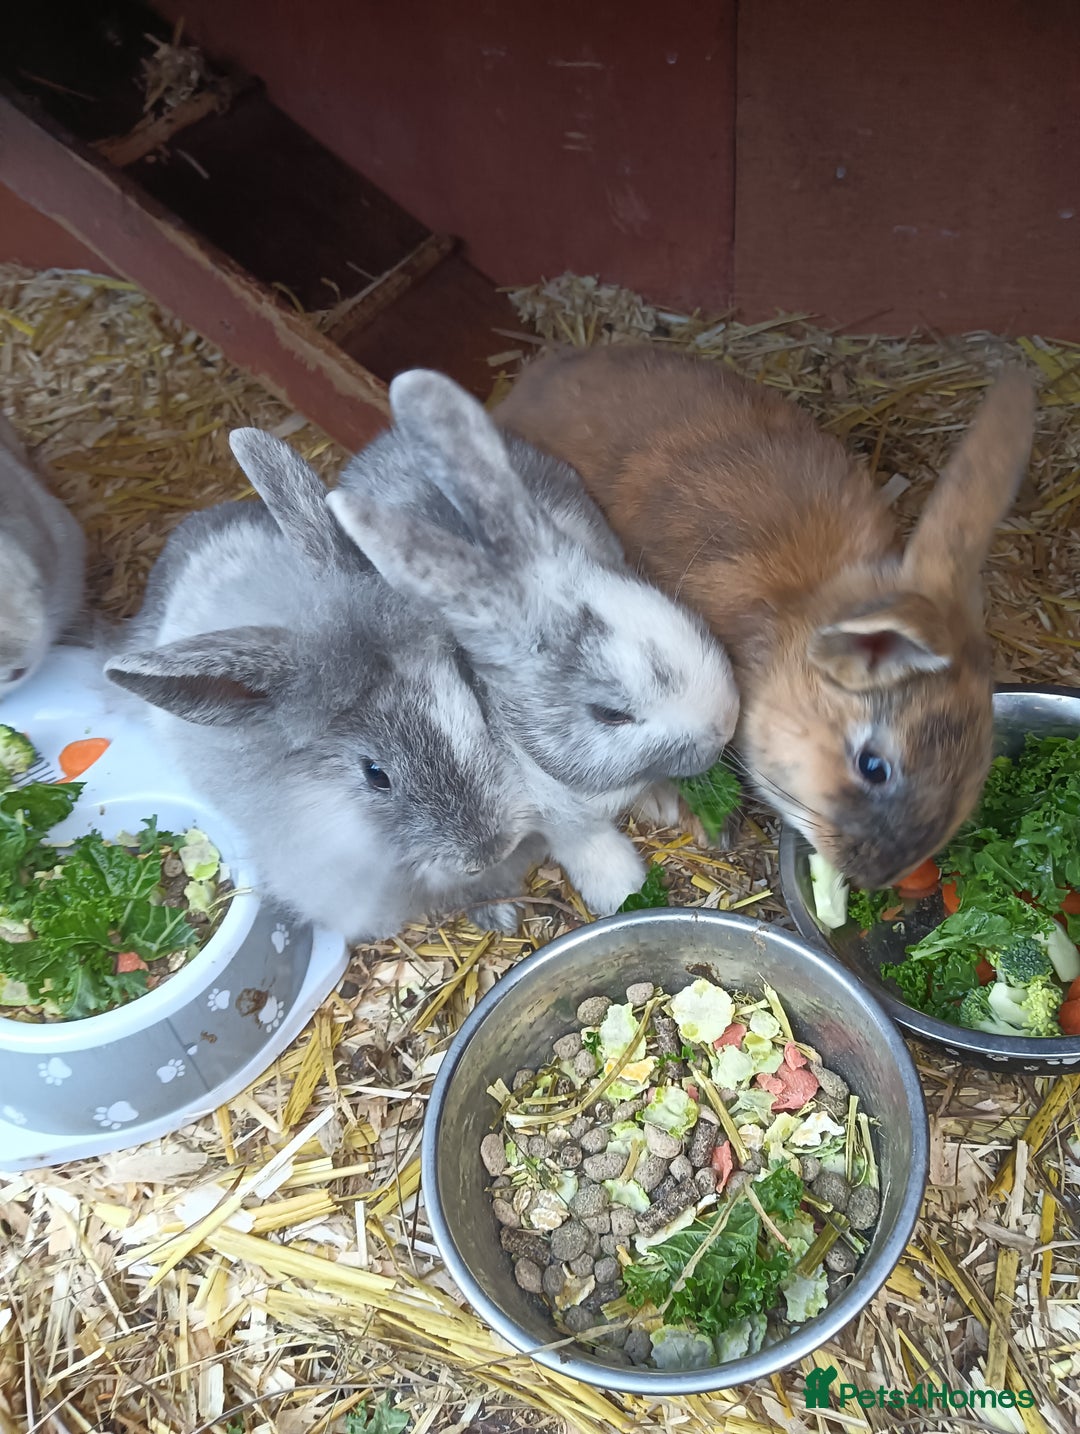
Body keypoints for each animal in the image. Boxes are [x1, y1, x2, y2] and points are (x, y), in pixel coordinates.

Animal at [324, 368, 740, 916]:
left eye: (683, 616)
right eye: (610, 714)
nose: (726, 724)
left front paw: (664, 801)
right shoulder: (542, 812)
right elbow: (584, 843)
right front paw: (621, 889)